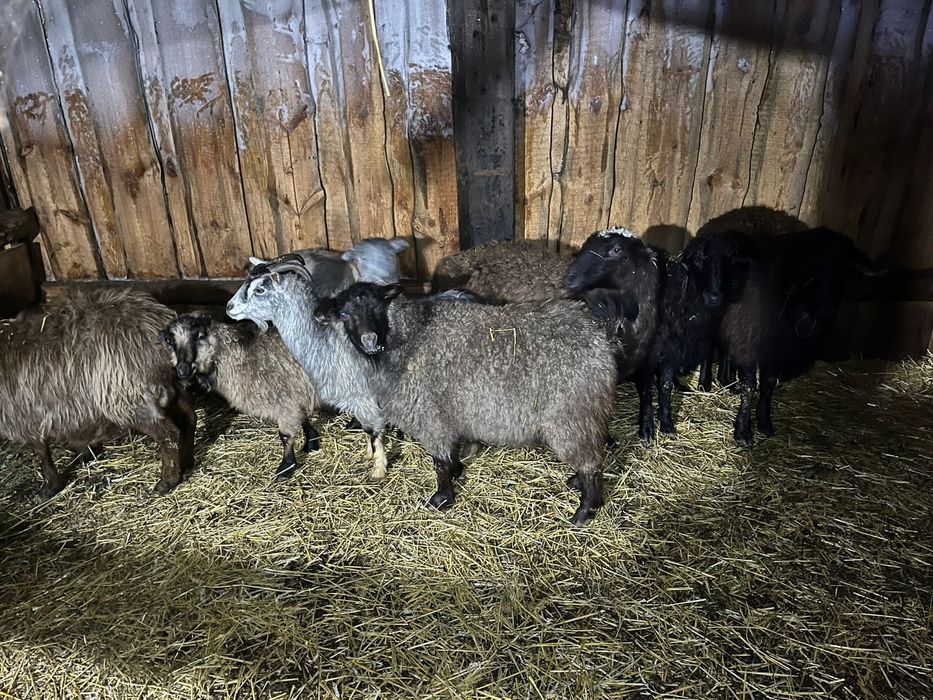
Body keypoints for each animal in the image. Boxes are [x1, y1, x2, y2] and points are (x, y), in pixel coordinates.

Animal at [0, 288, 196, 497]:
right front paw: (86, 454)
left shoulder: (27, 418)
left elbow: (41, 453)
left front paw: (50, 487)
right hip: (171, 385)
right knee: (190, 418)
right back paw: (186, 461)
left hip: (130, 396)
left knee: (169, 434)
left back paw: (168, 480)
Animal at [159, 313, 320, 479]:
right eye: (170, 341)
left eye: (200, 336)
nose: (182, 370)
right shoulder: (298, 395)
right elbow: (303, 419)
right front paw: (312, 441)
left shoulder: (285, 398)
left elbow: (286, 436)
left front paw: (286, 467)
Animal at [225, 255, 389, 481]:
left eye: (259, 289)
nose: (229, 307)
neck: (325, 339)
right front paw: (368, 454)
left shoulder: (361, 395)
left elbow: (373, 429)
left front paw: (378, 468)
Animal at [315, 282, 619, 524]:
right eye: (344, 314)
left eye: (377, 308)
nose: (369, 340)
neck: (409, 339)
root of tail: (598, 337)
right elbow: (450, 457)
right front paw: (458, 473)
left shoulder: (429, 416)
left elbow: (439, 463)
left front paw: (442, 497)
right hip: (584, 417)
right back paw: (576, 482)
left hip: (572, 415)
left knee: (592, 465)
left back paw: (584, 511)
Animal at [718, 228, 883, 446]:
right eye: (810, 272)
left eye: (843, 272)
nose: (826, 313)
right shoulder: (749, 343)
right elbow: (750, 387)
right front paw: (743, 431)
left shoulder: (776, 351)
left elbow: (769, 384)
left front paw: (764, 421)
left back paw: (728, 381)